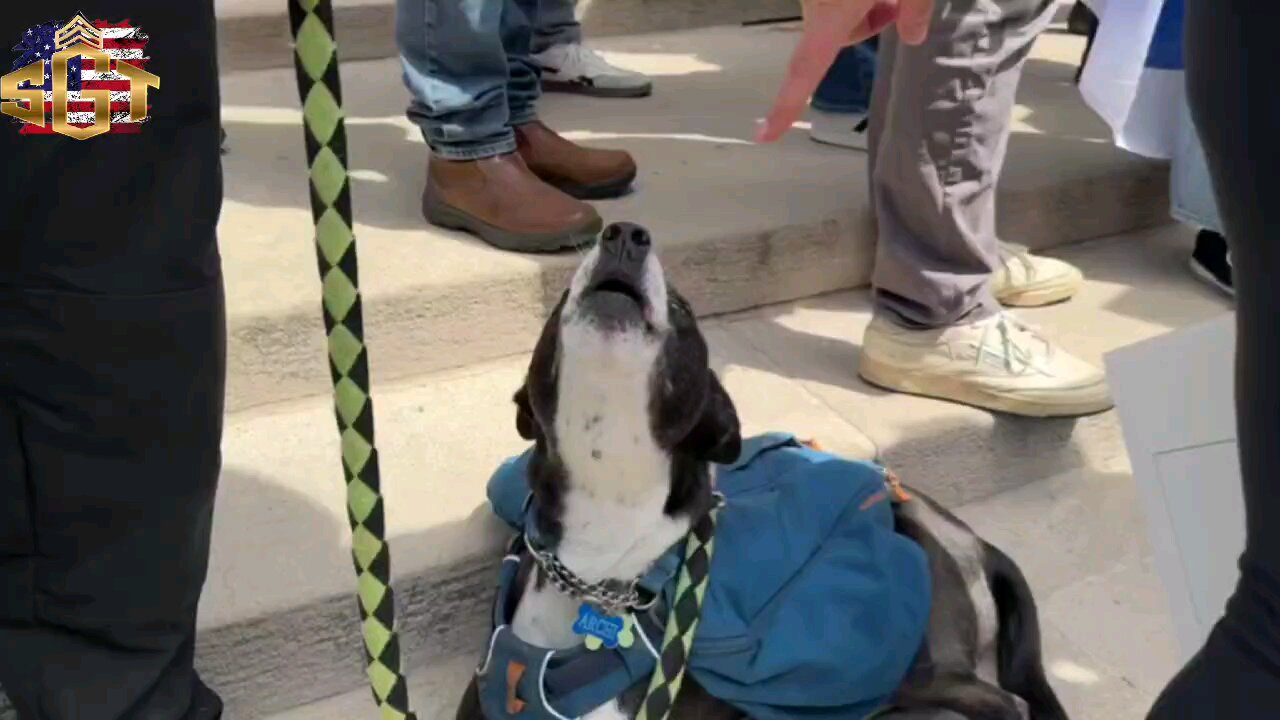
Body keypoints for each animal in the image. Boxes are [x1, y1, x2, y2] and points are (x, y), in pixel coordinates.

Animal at [455, 224, 1064, 717]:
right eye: (560, 299)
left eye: (682, 309)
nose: (625, 234)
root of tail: (973, 540)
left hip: (919, 658)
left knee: (1005, 702)